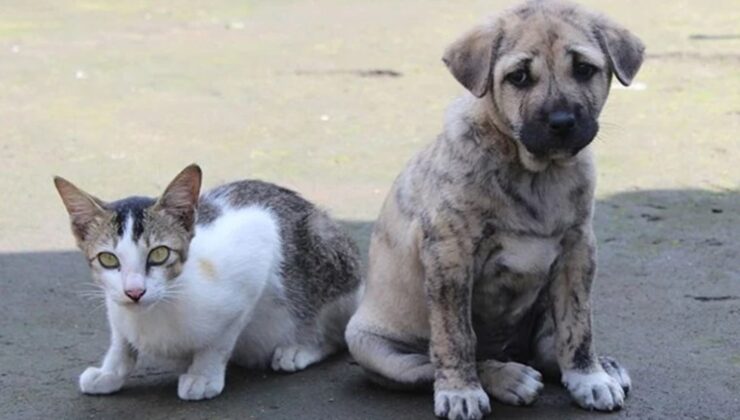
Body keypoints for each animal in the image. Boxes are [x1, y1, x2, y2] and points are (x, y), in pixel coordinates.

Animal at [54, 164, 362, 400]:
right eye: (108, 259)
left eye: (159, 254)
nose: (134, 292)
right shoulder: (114, 303)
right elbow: (121, 339)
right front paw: (110, 372)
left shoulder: (257, 249)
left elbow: (220, 340)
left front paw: (203, 375)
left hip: (326, 252)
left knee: (336, 333)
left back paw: (302, 347)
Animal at [346, 0, 640, 420]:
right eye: (518, 77)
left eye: (584, 69)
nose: (562, 123)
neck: (535, 173)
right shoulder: (450, 256)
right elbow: (455, 336)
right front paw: (461, 392)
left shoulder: (578, 250)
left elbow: (578, 324)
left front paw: (589, 377)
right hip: (374, 347)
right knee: (434, 361)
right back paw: (508, 377)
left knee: (548, 345)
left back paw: (601, 366)